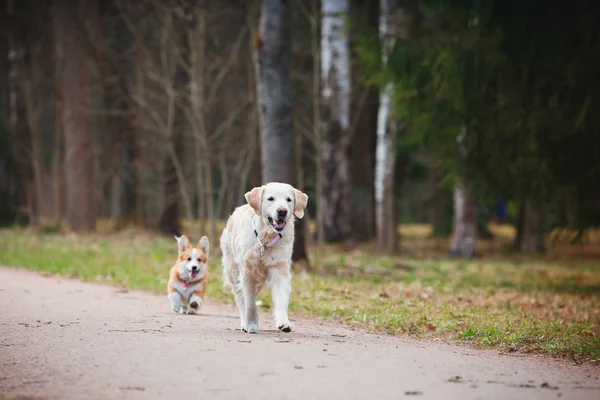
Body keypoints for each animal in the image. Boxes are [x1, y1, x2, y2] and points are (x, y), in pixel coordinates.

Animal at [221, 183, 310, 332]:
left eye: (289, 199)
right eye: (270, 198)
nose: (282, 211)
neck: (265, 239)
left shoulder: (279, 269)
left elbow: (281, 297)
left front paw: (284, 323)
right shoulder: (247, 274)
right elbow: (250, 304)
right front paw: (251, 325)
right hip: (233, 272)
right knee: (241, 300)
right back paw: (244, 323)